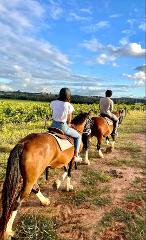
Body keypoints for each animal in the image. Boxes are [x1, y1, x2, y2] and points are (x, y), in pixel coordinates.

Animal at [0, 112, 88, 240]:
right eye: (91, 120)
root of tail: (24, 143)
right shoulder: (71, 159)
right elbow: (69, 172)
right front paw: (68, 187)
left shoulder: (63, 161)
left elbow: (65, 170)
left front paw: (57, 183)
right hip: (31, 177)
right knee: (17, 201)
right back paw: (8, 230)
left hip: (30, 176)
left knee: (34, 188)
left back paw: (44, 201)